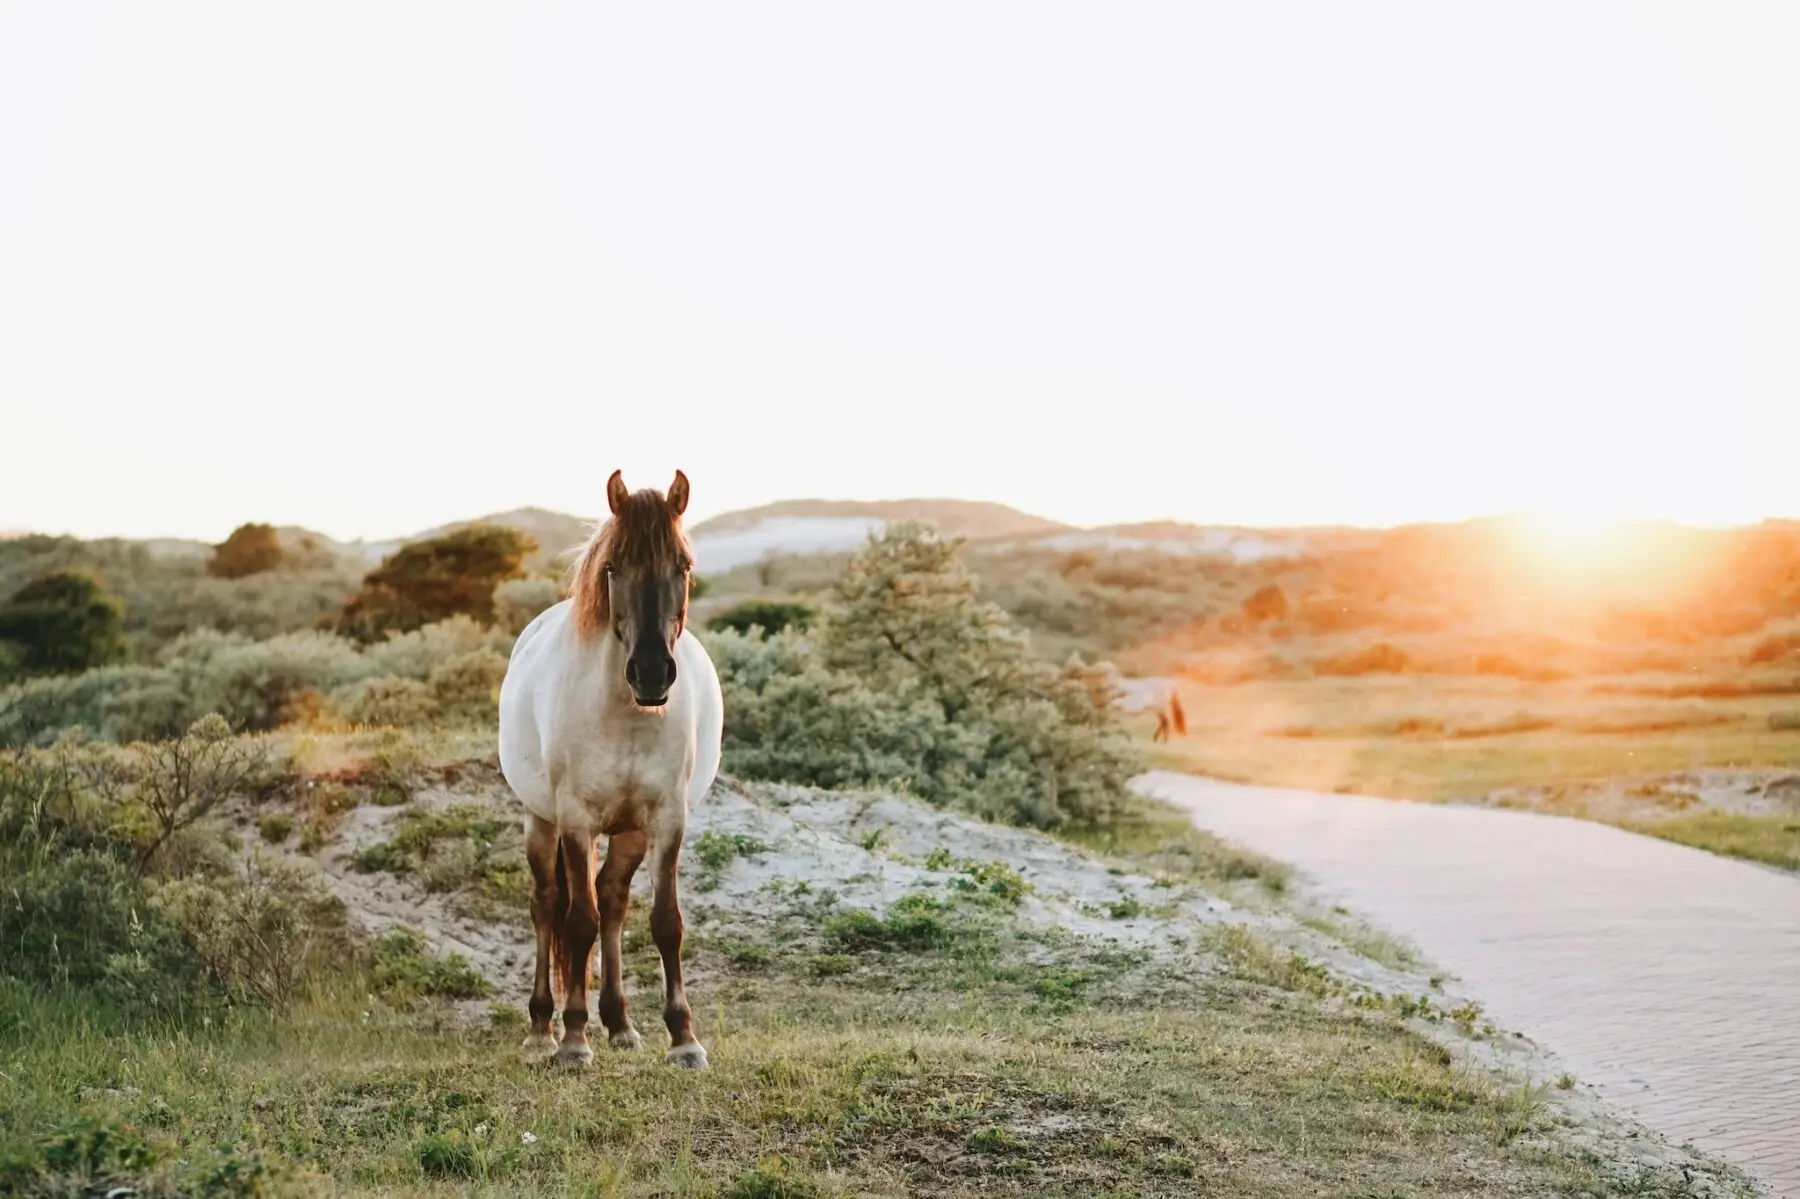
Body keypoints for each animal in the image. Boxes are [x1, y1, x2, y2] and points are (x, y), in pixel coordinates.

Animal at [500, 468, 723, 1065]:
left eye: (683, 565)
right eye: (612, 568)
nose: (651, 672)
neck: (627, 714)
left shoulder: (667, 820)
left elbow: (665, 923)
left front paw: (684, 1038)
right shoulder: (576, 820)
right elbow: (579, 922)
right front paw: (574, 1041)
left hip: (629, 832)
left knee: (615, 901)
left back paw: (620, 1023)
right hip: (541, 819)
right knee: (548, 905)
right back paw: (542, 1028)